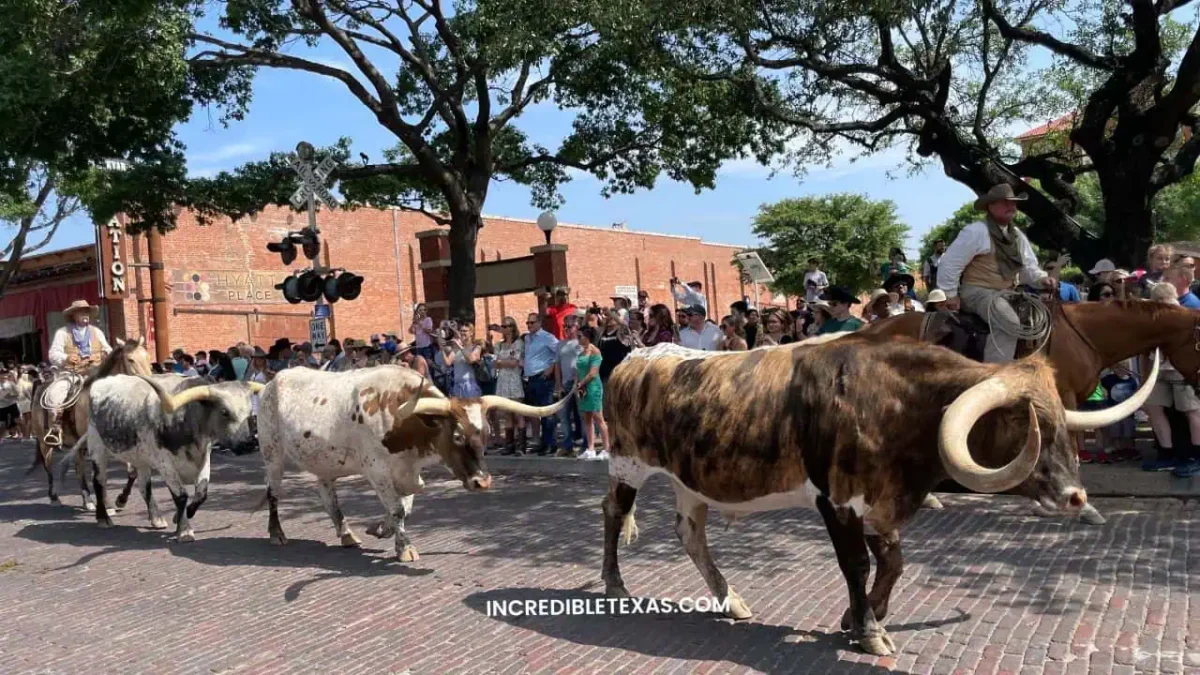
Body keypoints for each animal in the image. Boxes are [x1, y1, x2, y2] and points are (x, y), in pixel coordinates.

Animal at [28, 338, 152, 506]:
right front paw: (108, 504)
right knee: (49, 466)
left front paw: (121, 500)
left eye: (148, 357)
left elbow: (132, 472)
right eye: (131, 359)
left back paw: (87, 499)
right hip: (44, 442)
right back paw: (54, 497)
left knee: (78, 467)